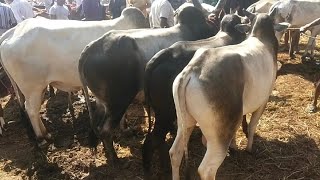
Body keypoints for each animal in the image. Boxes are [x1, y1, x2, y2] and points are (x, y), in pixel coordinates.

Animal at [0, 7, 148, 145]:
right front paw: (125, 128)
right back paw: (41, 138)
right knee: (31, 110)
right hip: (32, 88)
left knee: (33, 110)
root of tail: (12, 32)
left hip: (38, 88)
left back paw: (46, 134)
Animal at [78, 5, 220, 171]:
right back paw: (116, 159)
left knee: (98, 124)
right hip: (118, 103)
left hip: (103, 101)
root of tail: (92, 48)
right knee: (106, 130)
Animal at [170, 13, 288, 179]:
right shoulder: (264, 100)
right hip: (219, 137)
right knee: (206, 169)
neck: (261, 38)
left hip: (185, 123)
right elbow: (252, 125)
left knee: (175, 153)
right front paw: (249, 149)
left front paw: (235, 147)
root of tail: (193, 69)